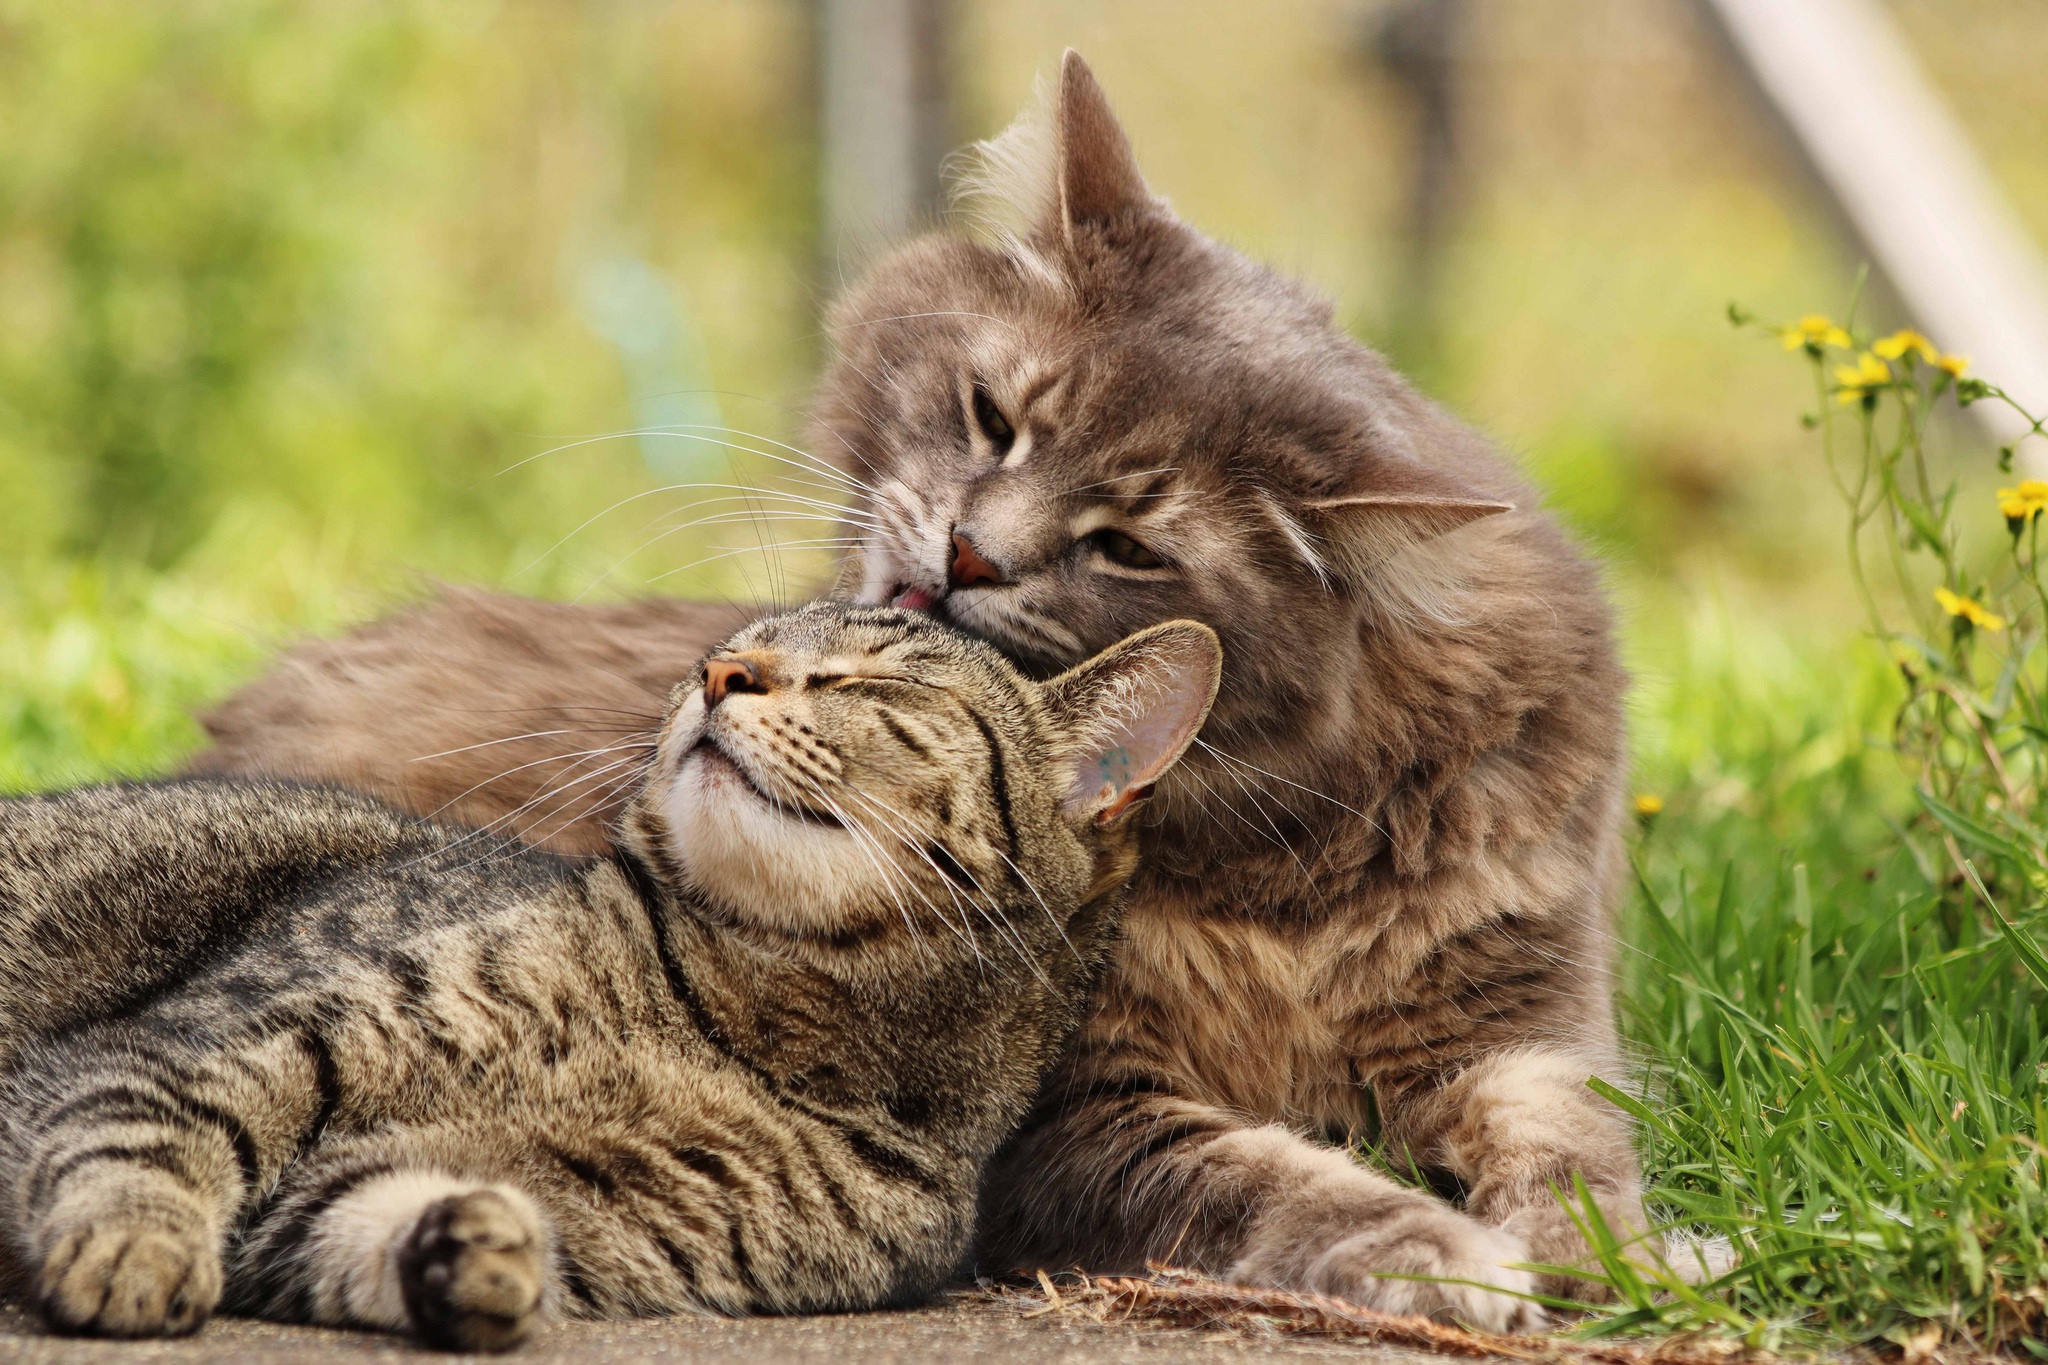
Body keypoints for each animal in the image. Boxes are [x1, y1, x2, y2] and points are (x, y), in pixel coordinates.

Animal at [192, 58, 1662, 1326]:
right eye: (989, 416)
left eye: (1126, 546)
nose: (967, 552)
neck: (1272, 860)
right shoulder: (1068, 1110)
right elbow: (1262, 1177)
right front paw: (1444, 1253)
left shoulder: (1517, 1027)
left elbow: (1580, 1147)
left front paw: (1623, 1262)